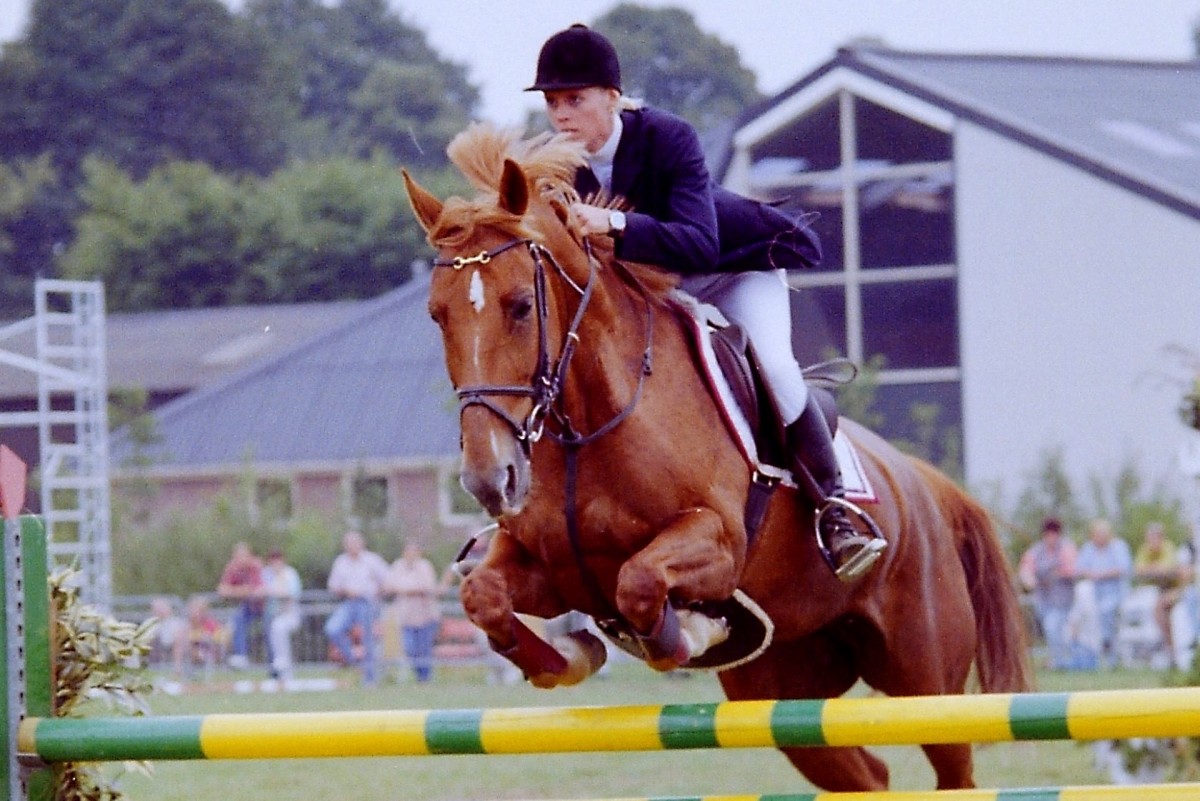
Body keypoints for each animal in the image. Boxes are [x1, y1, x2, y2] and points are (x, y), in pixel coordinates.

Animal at [403, 122, 1032, 791]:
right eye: (437, 316)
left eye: (522, 305)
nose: (488, 479)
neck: (585, 432)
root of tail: (926, 484)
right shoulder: (547, 568)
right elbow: (484, 596)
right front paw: (569, 656)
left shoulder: (719, 543)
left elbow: (640, 582)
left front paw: (690, 630)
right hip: (784, 689)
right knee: (867, 774)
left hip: (924, 678)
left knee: (953, 768)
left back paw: (843, 535)